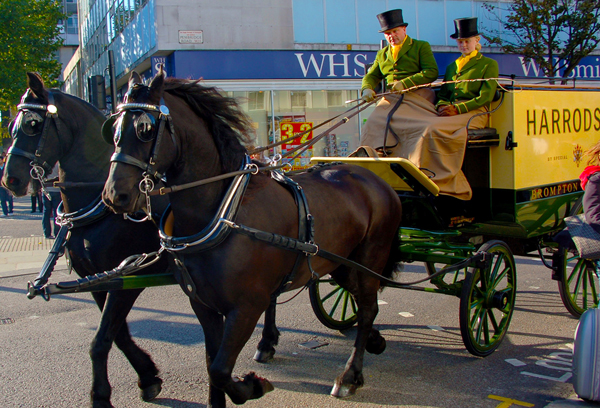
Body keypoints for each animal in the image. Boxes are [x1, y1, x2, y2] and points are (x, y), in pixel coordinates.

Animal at [1, 72, 170, 408]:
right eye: (12, 126)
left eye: (32, 124)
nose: (10, 180)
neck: (100, 206)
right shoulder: (96, 279)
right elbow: (118, 335)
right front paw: (148, 375)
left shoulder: (129, 277)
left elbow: (102, 339)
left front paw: (101, 395)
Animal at [103, 69, 404, 404]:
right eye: (113, 130)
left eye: (145, 129)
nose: (115, 194)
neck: (225, 212)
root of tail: (373, 176)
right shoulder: (203, 305)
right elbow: (212, 366)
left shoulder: (247, 306)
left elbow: (221, 369)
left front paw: (254, 386)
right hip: (340, 263)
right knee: (361, 301)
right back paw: (374, 341)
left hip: (371, 257)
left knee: (367, 308)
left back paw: (350, 375)